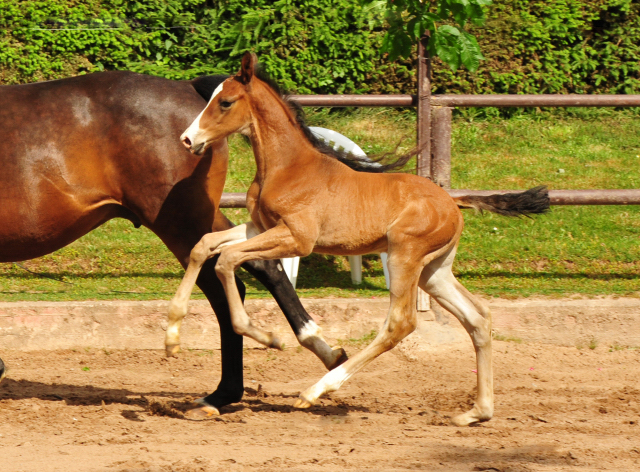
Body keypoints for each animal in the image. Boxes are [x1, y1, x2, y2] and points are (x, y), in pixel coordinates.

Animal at [175, 53, 552, 426]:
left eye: (225, 102)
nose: (188, 140)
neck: (287, 167)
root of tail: (453, 202)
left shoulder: (297, 239)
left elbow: (226, 260)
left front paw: (268, 337)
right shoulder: (259, 227)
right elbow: (204, 245)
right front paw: (171, 336)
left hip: (404, 258)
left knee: (401, 323)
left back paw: (315, 391)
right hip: (434, 272)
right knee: (478, 317)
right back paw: (476, 412)